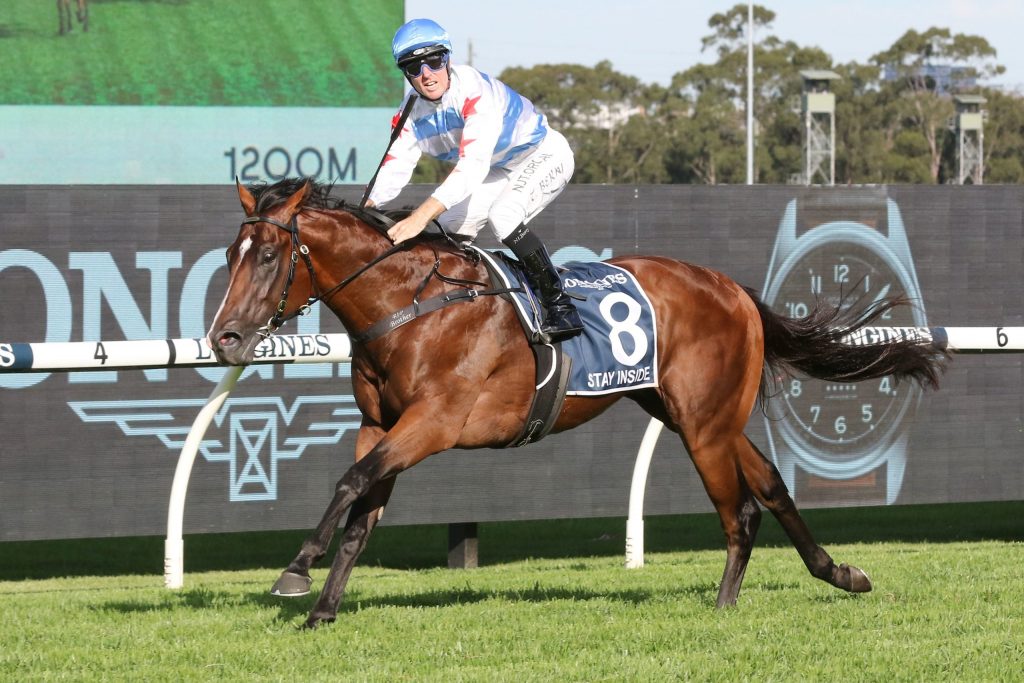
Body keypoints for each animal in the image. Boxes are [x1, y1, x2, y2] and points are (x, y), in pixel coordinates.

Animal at [207, 178, 947, 629]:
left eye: (268, 255)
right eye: (230, 253)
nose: (225, 337)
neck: (411, 305)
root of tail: (733, 288)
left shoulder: (435, 422)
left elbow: (351, 481)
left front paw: (295, 570)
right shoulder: (379, 423)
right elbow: (361, 510)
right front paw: (324, 607)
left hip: (702, 423)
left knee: (739, 510)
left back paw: (724, 604)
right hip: (694, 413)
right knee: (771, 486)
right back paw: (839, 573)